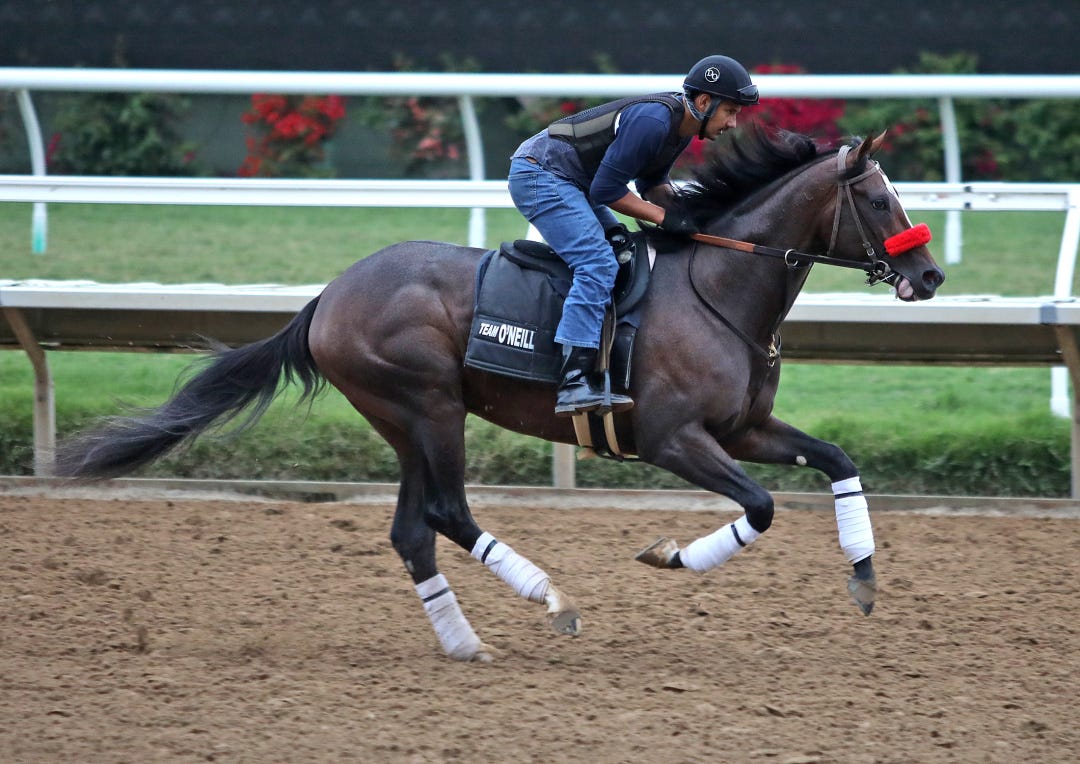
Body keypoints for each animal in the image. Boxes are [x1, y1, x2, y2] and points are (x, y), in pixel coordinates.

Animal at [56, 126, 945, 662]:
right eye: (878, 198)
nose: (930, 275)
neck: (718, 287)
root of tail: (327, 299)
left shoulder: (745, 427)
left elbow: (836, 458)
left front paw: (864, 577)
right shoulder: (672, 438)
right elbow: (759, 506)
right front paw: (666, 554)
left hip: (407, 422)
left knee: (412, 531)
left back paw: (463, 642)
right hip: (428, 407)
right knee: (447, 514)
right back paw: (553, 600)